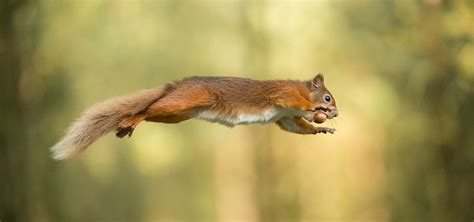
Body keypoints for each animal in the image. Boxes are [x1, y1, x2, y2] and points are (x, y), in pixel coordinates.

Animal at [51, 74, 336, 160]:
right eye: (327, 98)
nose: (336, 112)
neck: (300, 88)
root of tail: (175, 86)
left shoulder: (285, 117)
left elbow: (295, 126)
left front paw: (321, 129)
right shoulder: (283, 94)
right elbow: (297, 103)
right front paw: (314, 112)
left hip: (176, 115)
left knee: (151, 113)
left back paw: (127, 125)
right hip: (183, 101)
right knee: (146, 109)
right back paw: (131, 119)